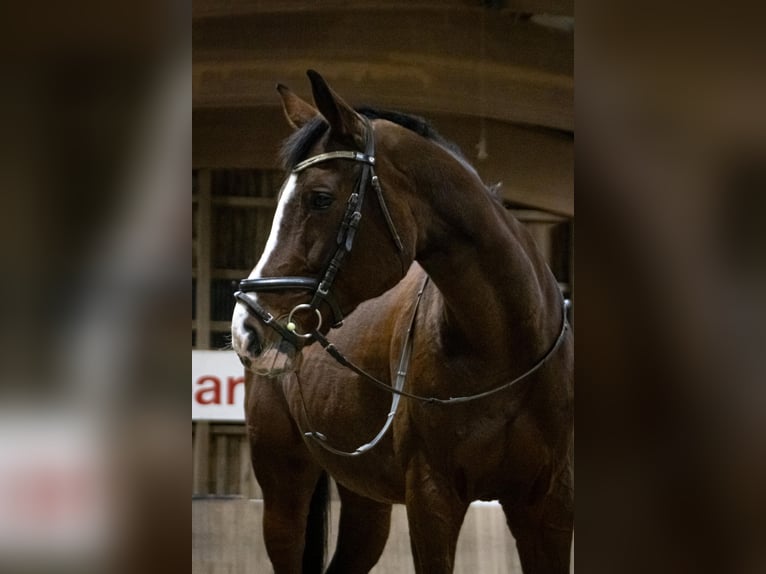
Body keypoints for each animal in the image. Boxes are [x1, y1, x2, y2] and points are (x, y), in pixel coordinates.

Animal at [230, 70, 573, 574]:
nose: (246, 330)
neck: (505, 346)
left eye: (320, 198)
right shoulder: (432, 499)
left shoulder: (548, 506)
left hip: (365, 500)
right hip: (283, 492)